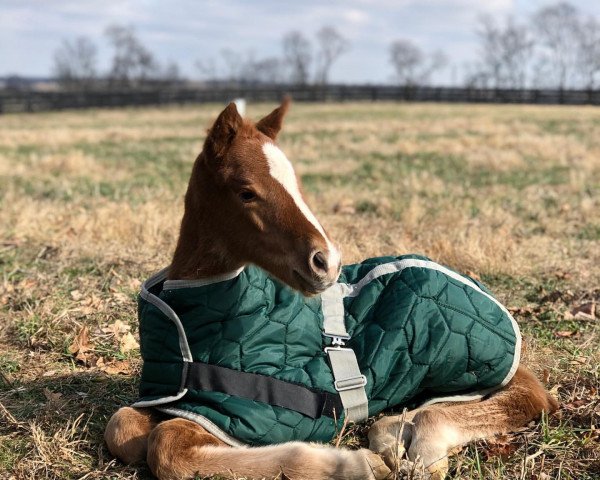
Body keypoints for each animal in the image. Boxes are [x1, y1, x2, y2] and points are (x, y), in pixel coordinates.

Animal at [103, 99, 556, 478]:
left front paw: (352, 464)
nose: (327, 262)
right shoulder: (180, 401)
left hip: (466, 360)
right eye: (246, 191)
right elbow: (122, 427)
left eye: (298, 185)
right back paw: (392, 434)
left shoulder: (247, 414)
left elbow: (167, 446)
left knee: (528, 395)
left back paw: (419, 449)